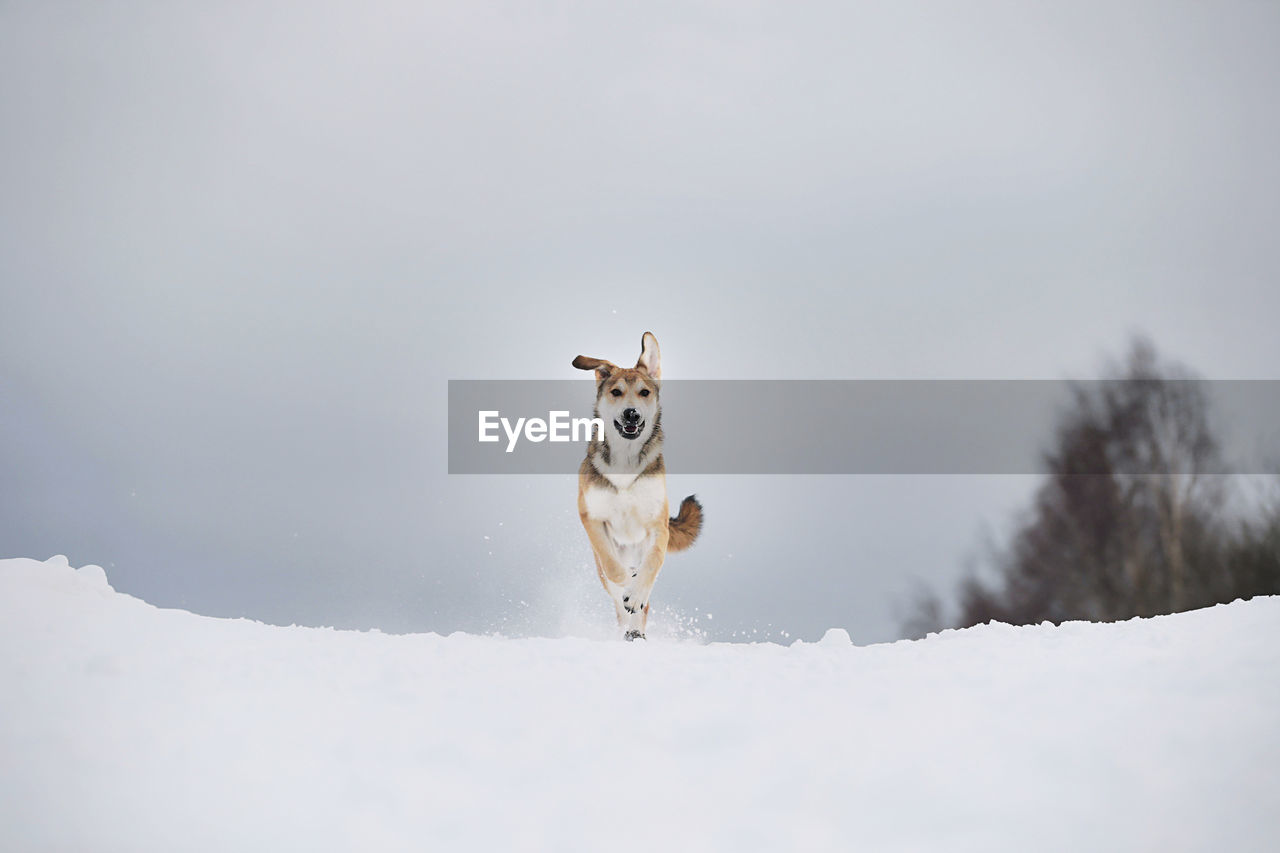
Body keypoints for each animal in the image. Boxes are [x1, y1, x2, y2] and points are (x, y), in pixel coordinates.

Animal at [576, 333, 706, 637]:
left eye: (644, 392)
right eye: (616, 392)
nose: (631, 414)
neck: (625, 459)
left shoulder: (657, 525)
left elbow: (653, 562)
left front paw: (636, 593)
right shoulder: (591, 516)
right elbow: (613, 567)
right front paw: (627, 583)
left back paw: (636, 629)